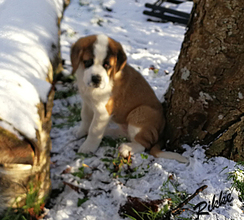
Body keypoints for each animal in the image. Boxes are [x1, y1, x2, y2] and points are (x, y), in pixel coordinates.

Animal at [70, 33, 189, 162]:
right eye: (87, 62)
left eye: (107, 65)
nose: (96, 79)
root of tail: (162, 132)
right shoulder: (87, 102)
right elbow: (85, 117)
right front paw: (81, 131)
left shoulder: (103, 111)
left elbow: (94, 130)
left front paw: (88, 147)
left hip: (140, 112)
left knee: (144, 145)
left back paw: (126, 148)